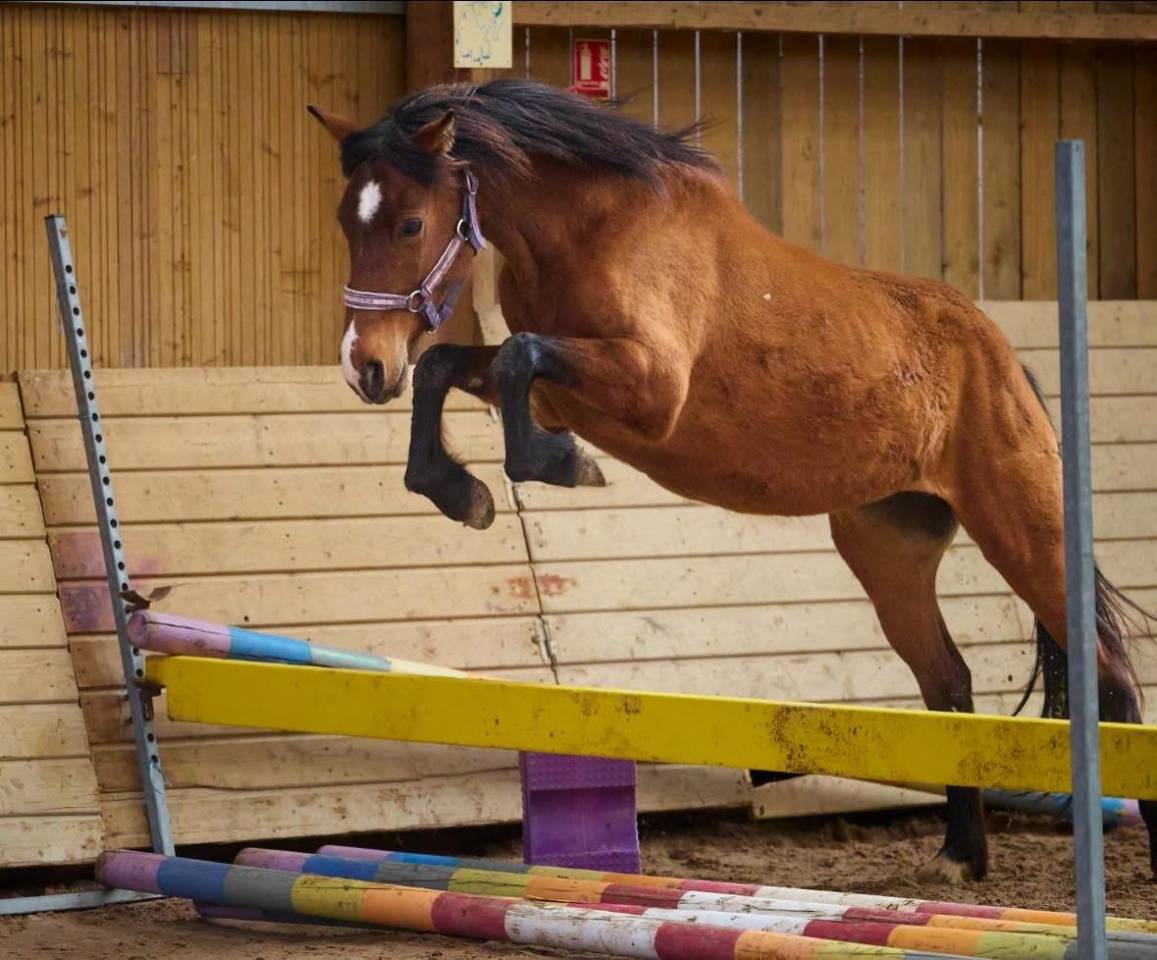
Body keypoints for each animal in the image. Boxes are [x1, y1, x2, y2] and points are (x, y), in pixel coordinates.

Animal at [309, 77, 1155, 884]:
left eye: (409, 225)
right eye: (348, 221)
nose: (364, 367)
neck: (587, 233)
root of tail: (1004, 359)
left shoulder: (647, 388)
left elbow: (517, 358)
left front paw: (557, 464)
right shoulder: (561, 380)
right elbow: (455, 367)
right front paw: (465, 491)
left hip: (1018, 525)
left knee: (1107, 673)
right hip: (888, 545)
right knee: (946, 681)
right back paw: (957, 856)